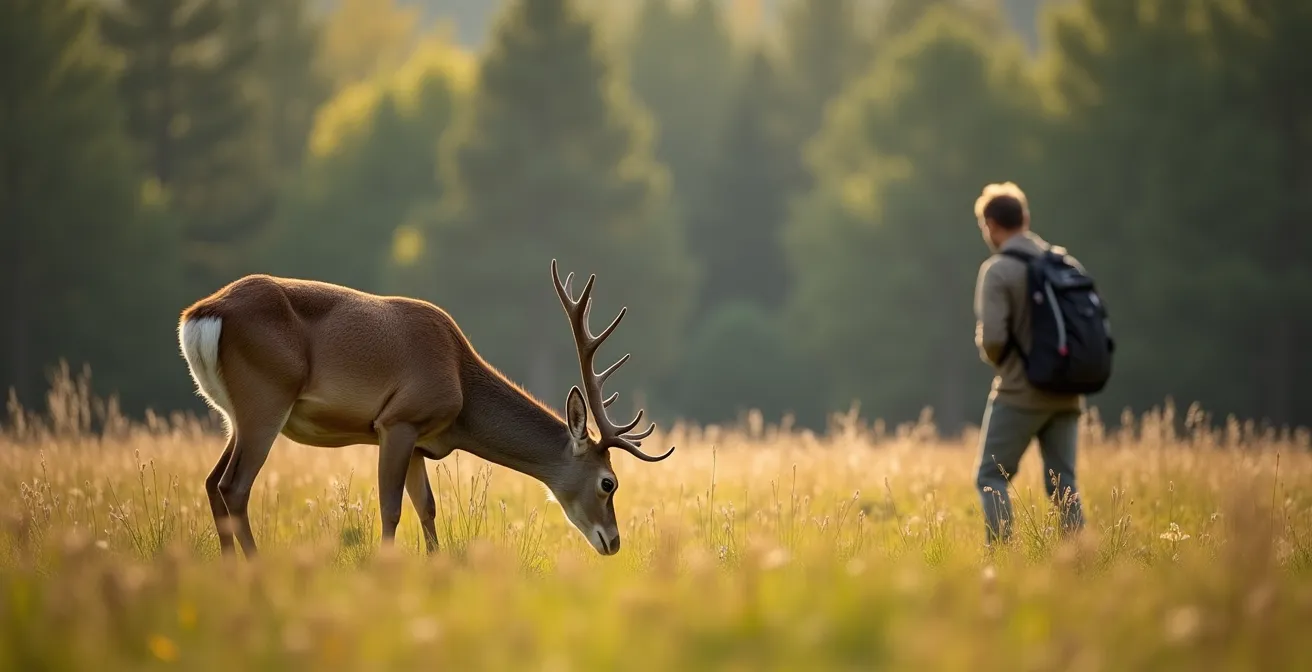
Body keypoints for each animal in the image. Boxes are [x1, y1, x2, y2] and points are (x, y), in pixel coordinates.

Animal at [176, 259, 674, 559]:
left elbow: (428, 509)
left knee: (212, 482)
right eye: (609, 482)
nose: (614, 542)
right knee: (235, 486)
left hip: (232, 414)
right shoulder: (398, 420)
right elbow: (391, 508)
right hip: (266, 398)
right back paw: (254, 567)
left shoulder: (419, 442)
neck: (460, 386)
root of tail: (200, 314)